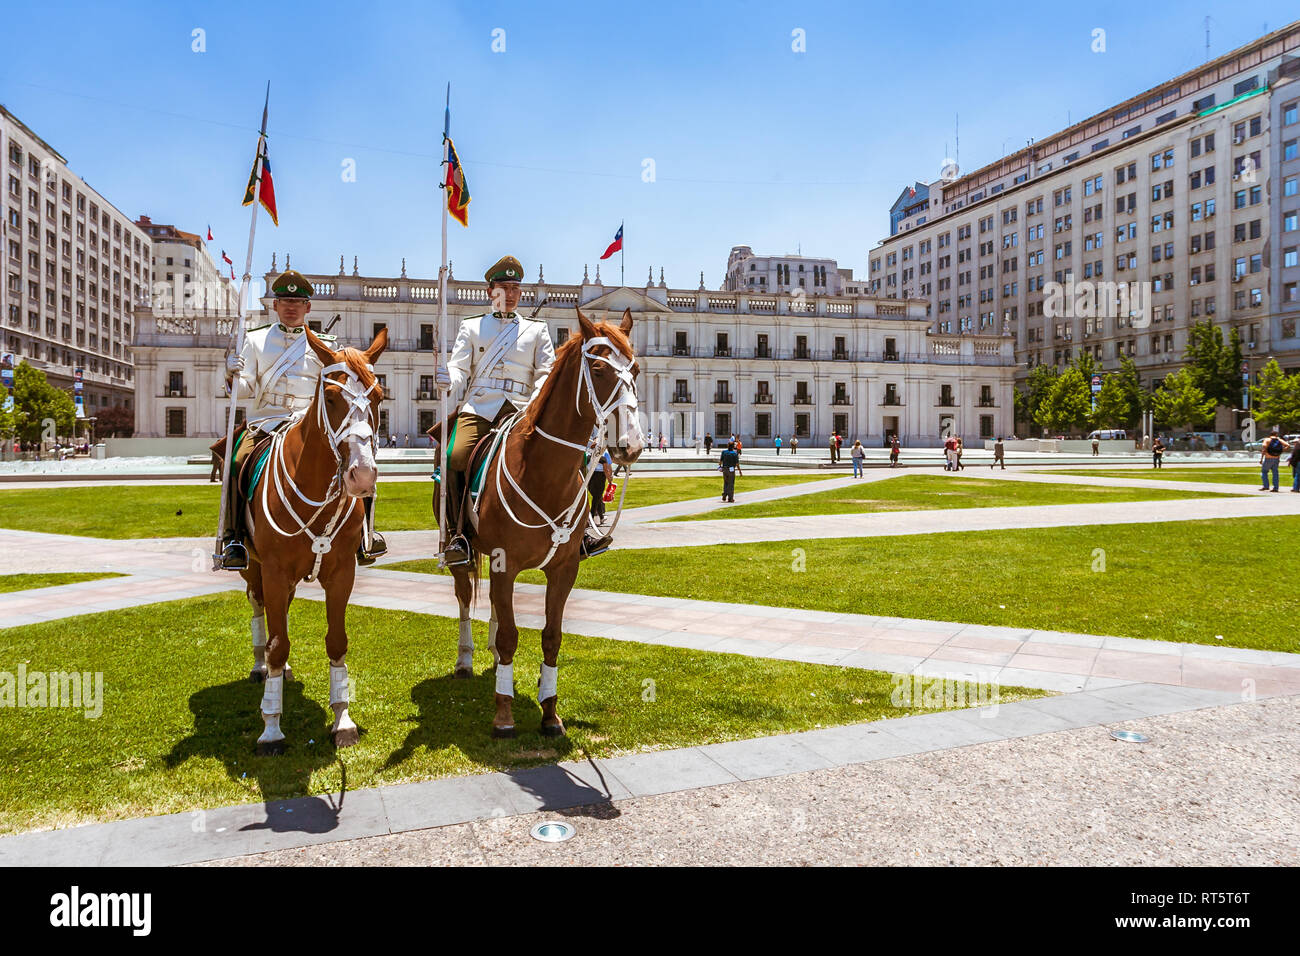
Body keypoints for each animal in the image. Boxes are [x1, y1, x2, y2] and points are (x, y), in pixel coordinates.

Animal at [240, 329, 384, 754]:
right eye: (331, 397)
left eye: (378, 397)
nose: (362, 475)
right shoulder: (273, 570)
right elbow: (277, 642)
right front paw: (271, 729)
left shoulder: (342, 571)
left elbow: (336, 642)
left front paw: (342, 720)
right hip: (253, 567)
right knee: (260, 612)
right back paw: (261, 666)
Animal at [441, 308, 644, 738]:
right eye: (598, 368)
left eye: (635, 368)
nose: (631, 445)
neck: (545, 472)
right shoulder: (504, 563)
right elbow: (511, 635)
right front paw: (503, 715)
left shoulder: (563, 569)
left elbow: (551, 637)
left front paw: (550, 711)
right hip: (460, 550)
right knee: (465, 598)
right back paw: (466, 660)